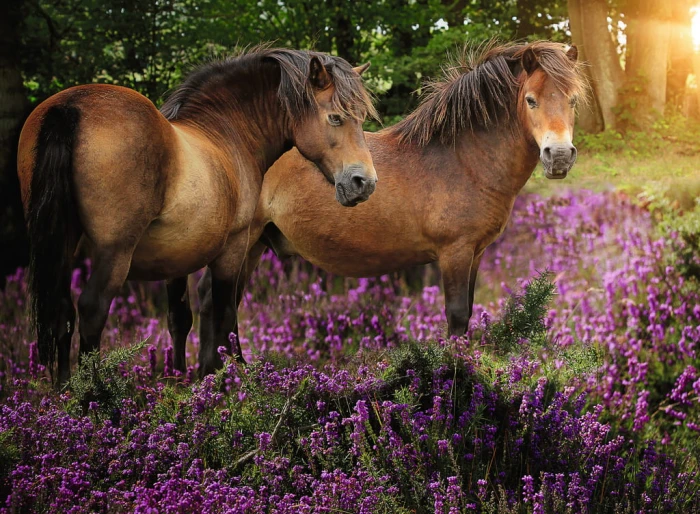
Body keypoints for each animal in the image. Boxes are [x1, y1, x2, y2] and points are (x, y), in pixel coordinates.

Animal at [17, 47, 378, 385]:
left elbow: (180, 319)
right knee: (92, 310)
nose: (364, 182)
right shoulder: (234, 247)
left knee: (62, 312)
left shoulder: (173, 260)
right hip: (114, 253)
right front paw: (227, 374)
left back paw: (66, 391)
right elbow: (225, 311)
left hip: (63, 244)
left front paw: (178, 379)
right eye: (335, 118)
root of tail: (70, 107)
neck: (226, 133)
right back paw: (92, 394)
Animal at [221, 41, 586, 348]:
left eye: (572, 100)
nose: (559, 156)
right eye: (531, 100)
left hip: (253, 248)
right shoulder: (454, 252)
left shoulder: (476, 253)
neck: (463, 159)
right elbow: (457, 317)